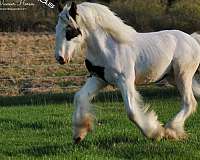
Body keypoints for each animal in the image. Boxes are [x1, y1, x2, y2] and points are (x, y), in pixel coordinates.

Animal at [54, 1, 200, 144]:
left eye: (69, 30)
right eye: (56, 29)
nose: (60, 58)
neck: (109, 48)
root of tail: (192, 39)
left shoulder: (125, 80)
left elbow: (131, 112)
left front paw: (155, 133)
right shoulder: (98, 79)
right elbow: (79, 97)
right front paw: (79, 135)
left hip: (182, 75)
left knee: (189, 102)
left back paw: (170, 130)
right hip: (173, 78)